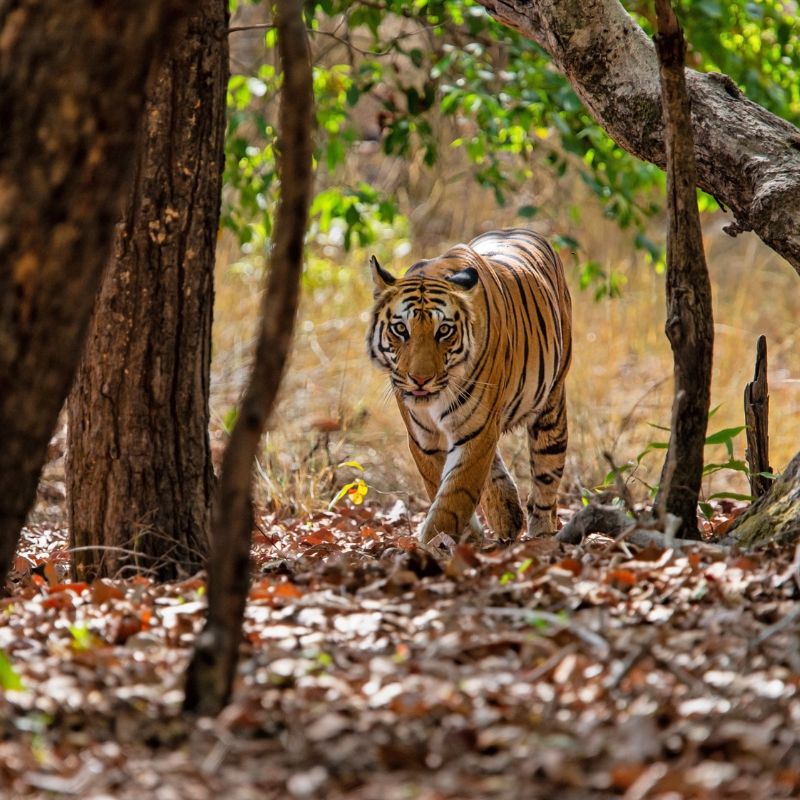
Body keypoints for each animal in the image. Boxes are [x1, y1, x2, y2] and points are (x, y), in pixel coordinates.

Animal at [367, 228, 572, 546]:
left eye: (444, 331)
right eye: (400, 329)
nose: (420, 379)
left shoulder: (477, 429)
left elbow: (455, 494)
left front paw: (434, 541)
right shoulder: (425, 439)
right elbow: (441, 485)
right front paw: (462, 537)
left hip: (550, 408)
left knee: (546, 474)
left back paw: (540, 532)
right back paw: (506, 514)